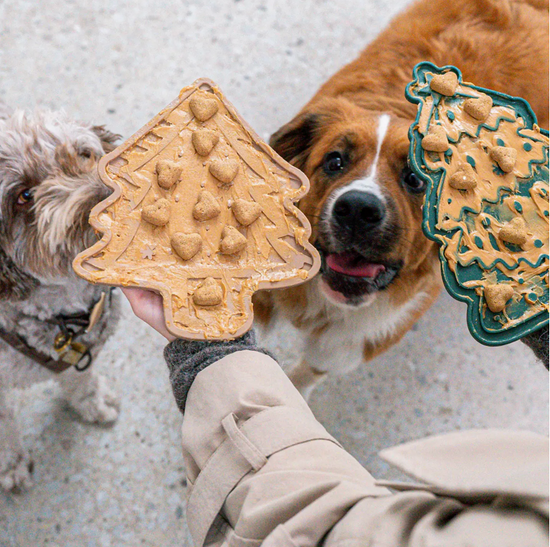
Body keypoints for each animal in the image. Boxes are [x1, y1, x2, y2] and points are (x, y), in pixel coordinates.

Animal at [0, 105, 122, 494]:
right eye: (24, 196)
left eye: (85, 154)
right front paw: (11, 466)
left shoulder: (81, 353)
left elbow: (81, 381)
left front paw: (93, 403)